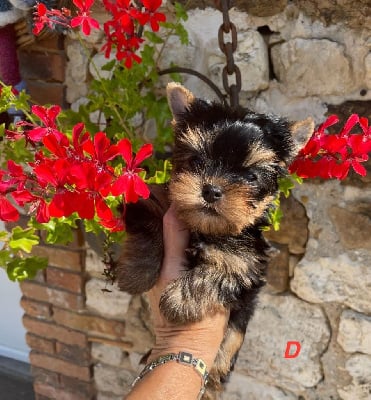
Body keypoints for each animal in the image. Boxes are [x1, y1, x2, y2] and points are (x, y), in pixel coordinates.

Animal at [117, 83, 314, 398]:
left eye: (251, 176)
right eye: (197, 160)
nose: (211, 190)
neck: (204, 228)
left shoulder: (249, 261)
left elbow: (225, 265)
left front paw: (179, 300)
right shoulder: (154, 202)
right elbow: (148, 225)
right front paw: (137, 273)